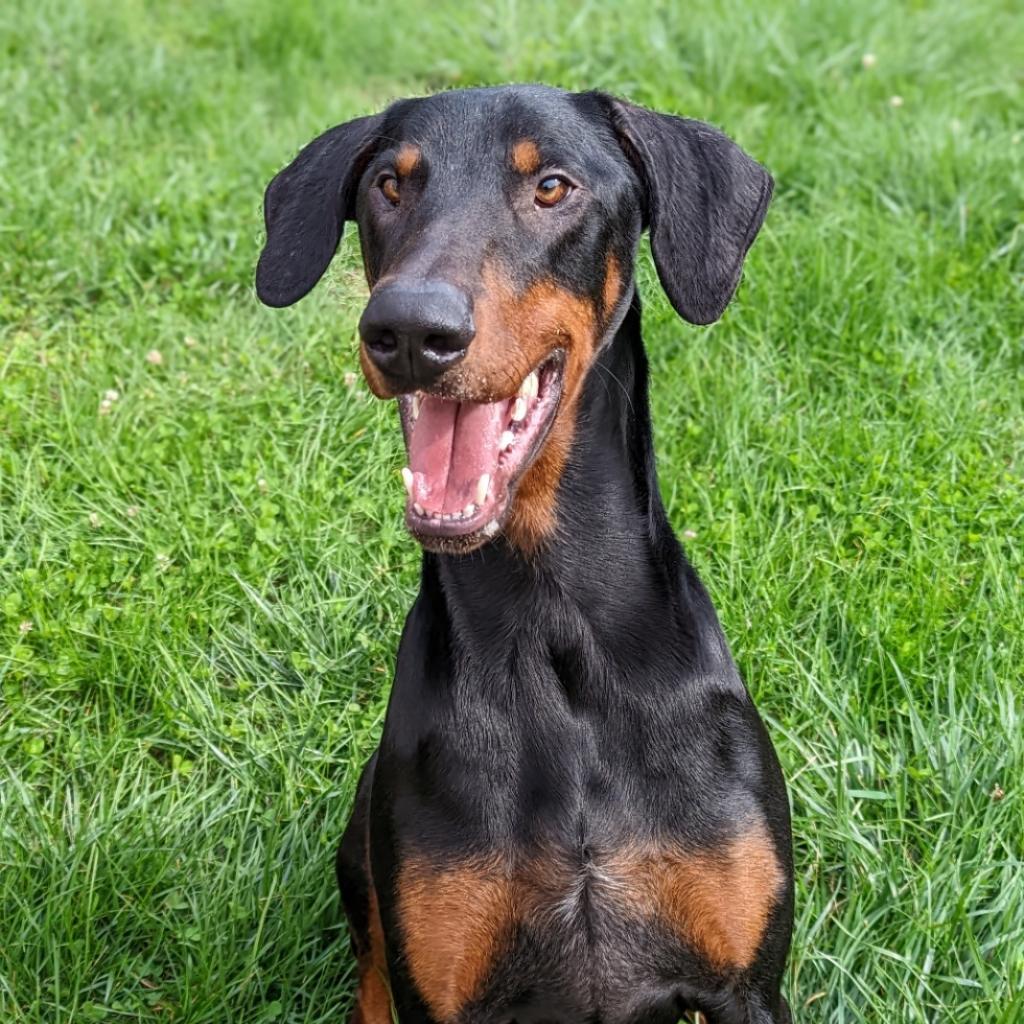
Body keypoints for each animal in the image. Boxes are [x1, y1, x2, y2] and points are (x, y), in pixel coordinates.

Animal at [253, 86, 790, 1024]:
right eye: (389, 185)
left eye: (552, 187)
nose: (409, 329)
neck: (555, 625)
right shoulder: (443, 983)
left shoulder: (749, 986)